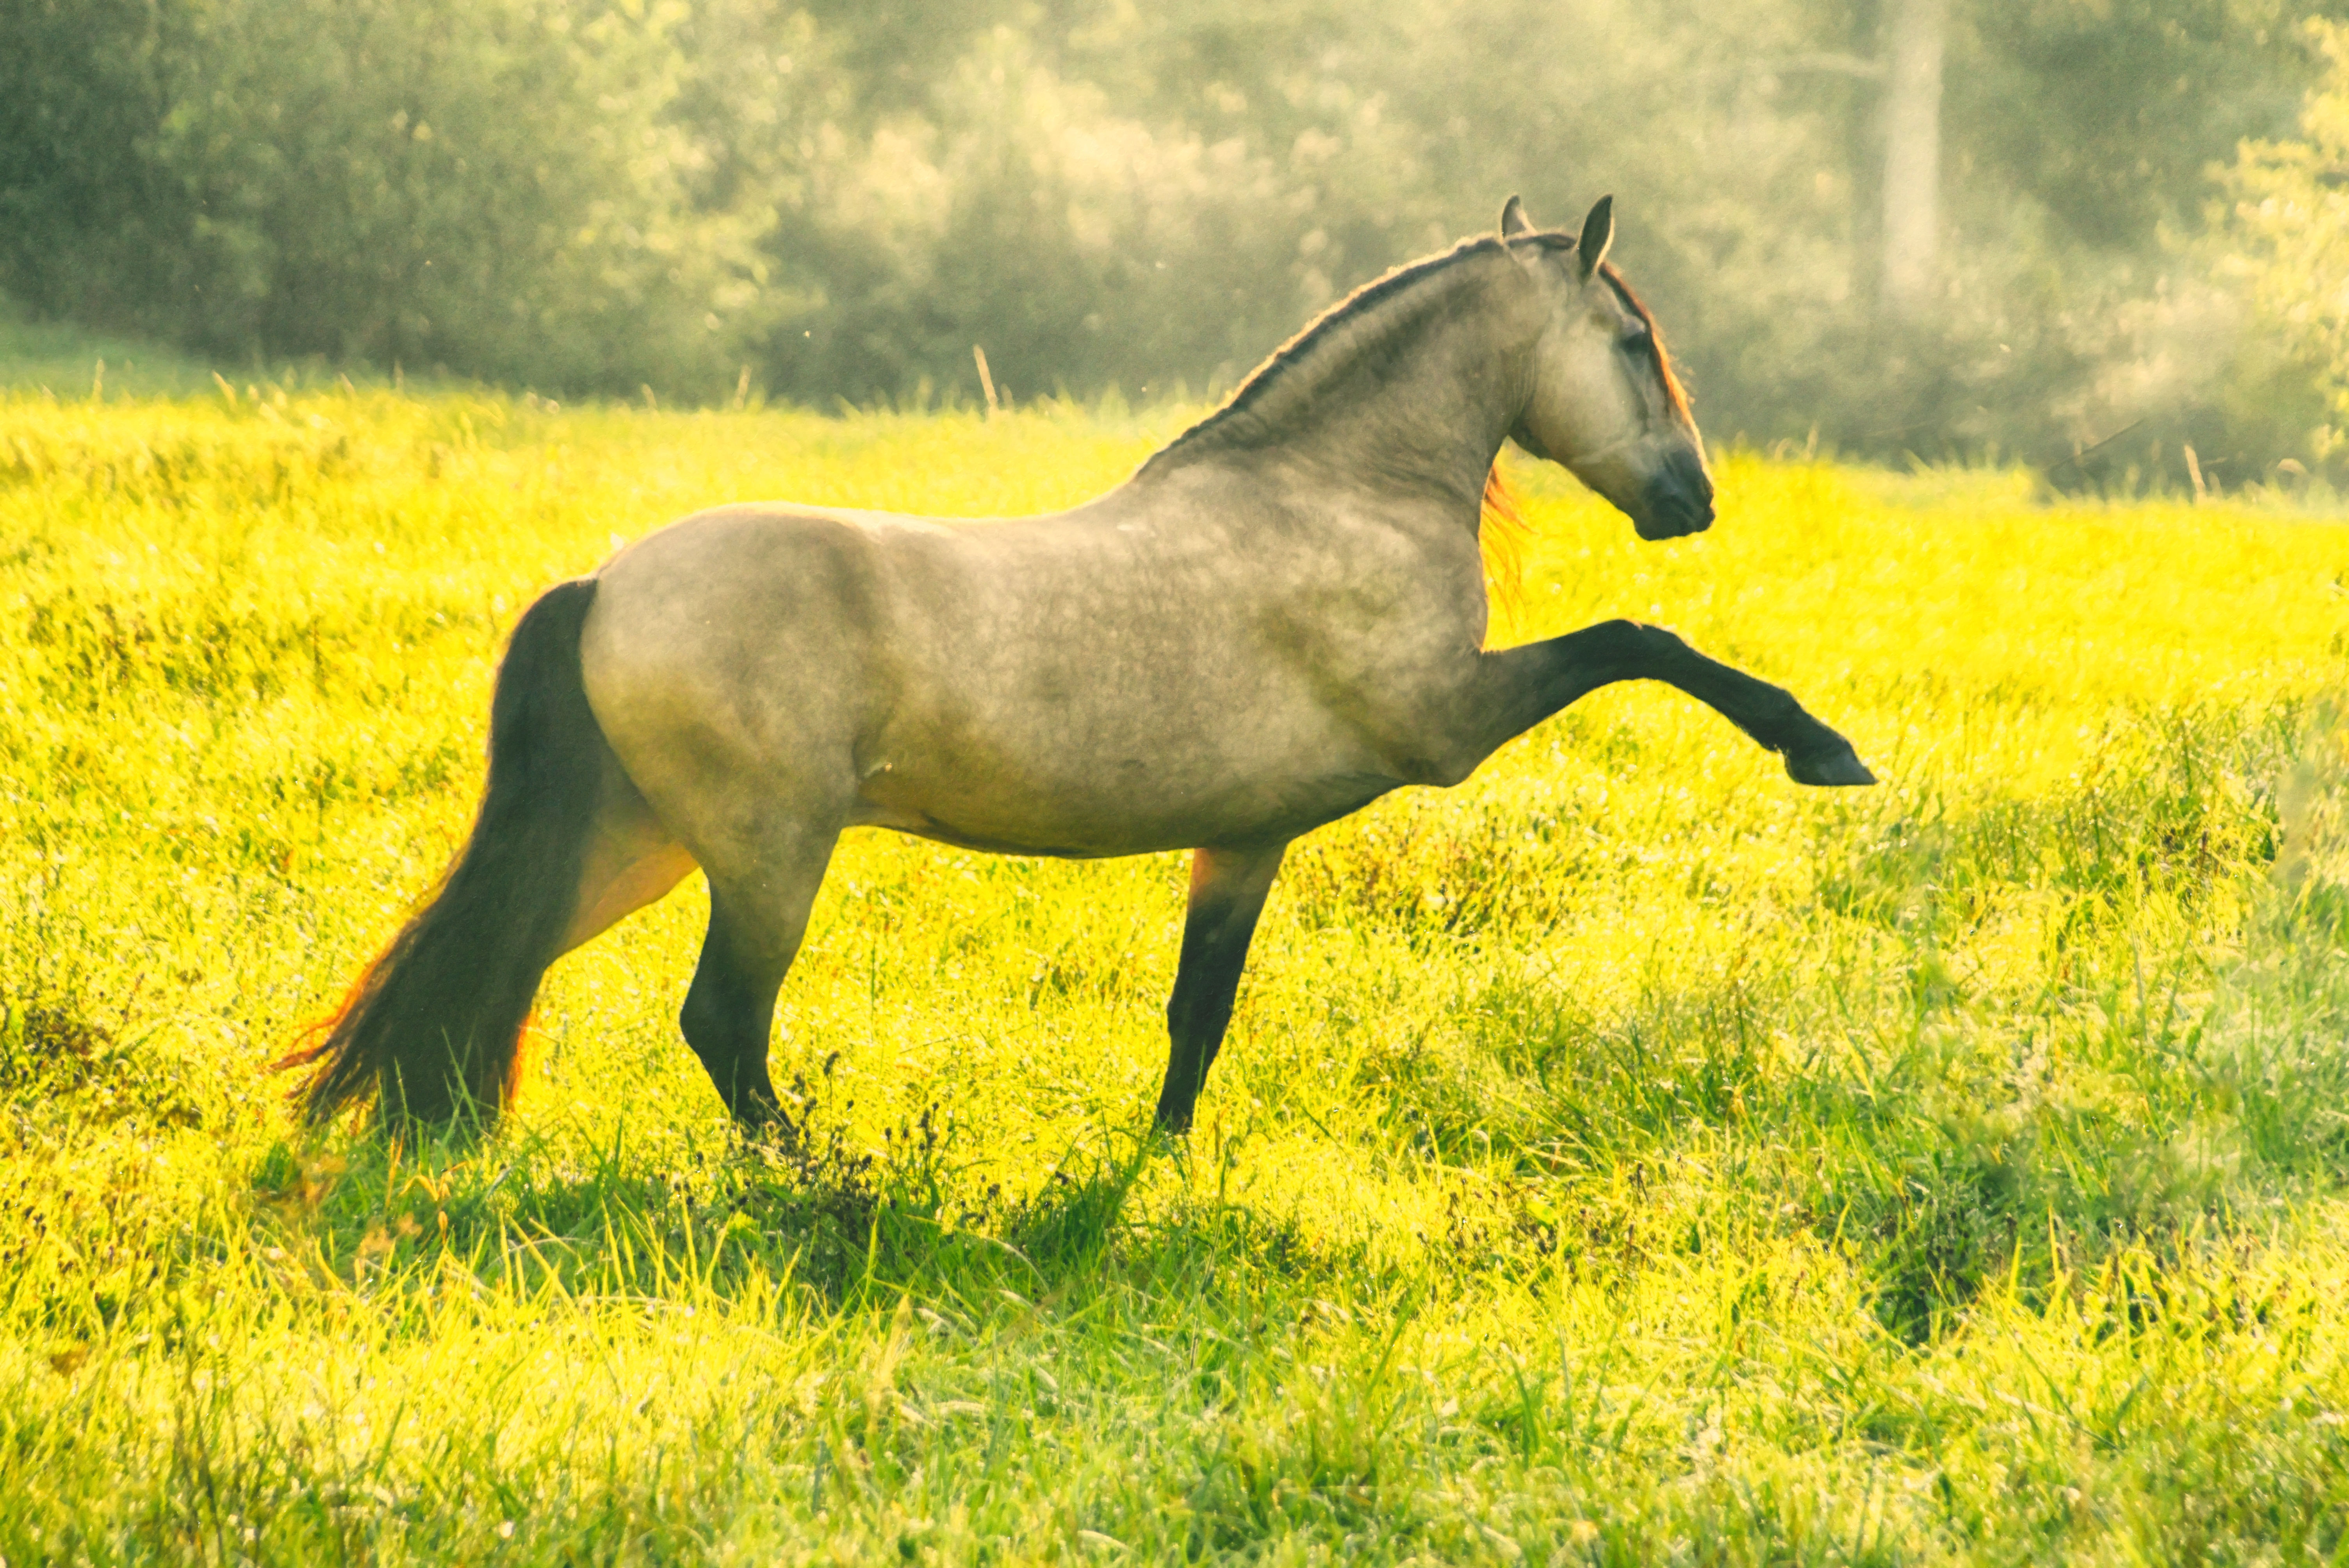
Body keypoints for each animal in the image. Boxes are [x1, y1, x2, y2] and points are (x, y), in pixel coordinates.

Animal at [281, 195, 1875, 1141]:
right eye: (1631, 338)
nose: (1689, 499)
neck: (1332, 491)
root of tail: (607, 583)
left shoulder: (1247, 838)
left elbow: (1198, 1011)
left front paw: (1156, 1165)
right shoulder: (1445, 723)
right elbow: (1635, 643)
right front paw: (1818, 747)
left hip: (636, 842)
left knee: (498, 965)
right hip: (762, 853)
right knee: (720, 1022)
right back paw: (822, 1179)